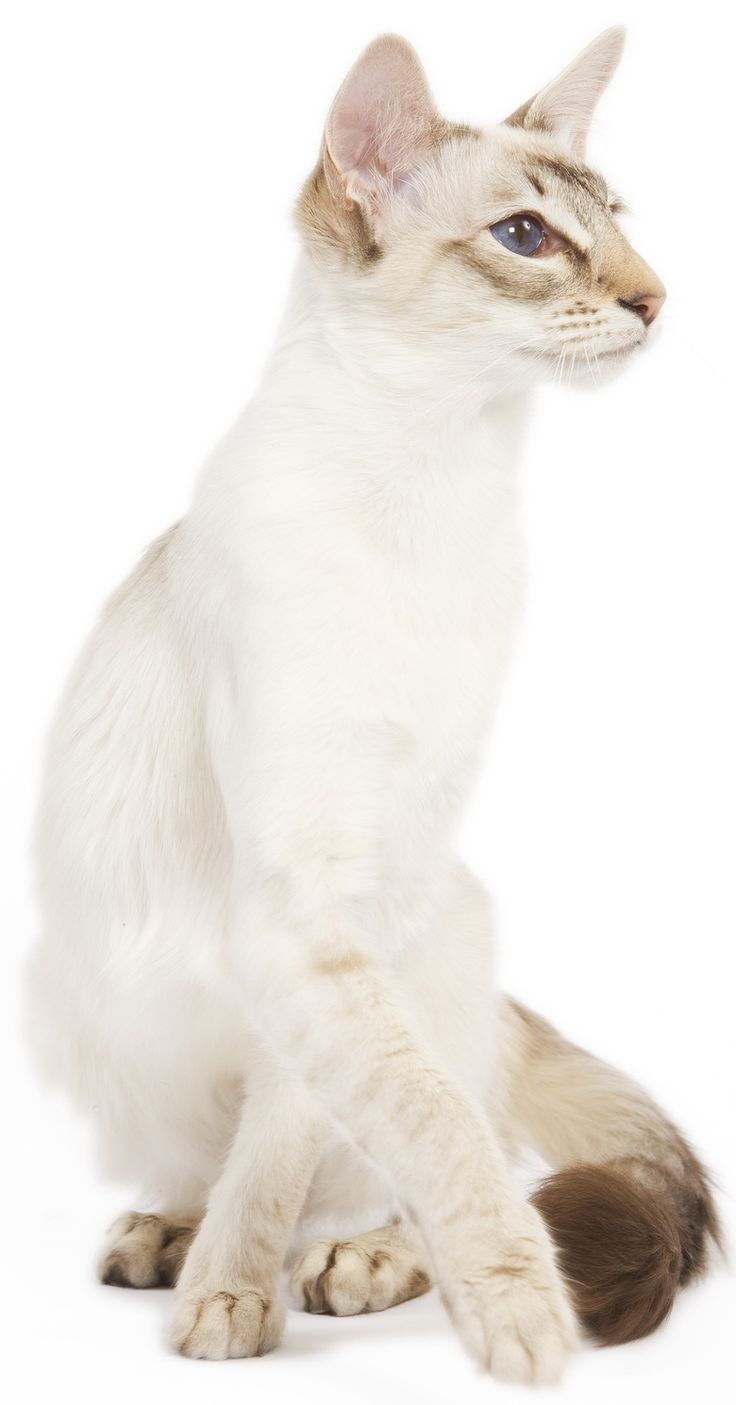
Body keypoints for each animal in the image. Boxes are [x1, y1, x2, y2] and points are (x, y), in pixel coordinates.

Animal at [27, 30, 719, 1382]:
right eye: (525, 236)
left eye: (616, 222)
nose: (657, 298)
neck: (435, 479)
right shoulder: (303, 911)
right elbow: (416, 1124)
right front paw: (235, 1298)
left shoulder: (377, 892)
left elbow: (353, 1133)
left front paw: (247, 1293)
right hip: (84, 1014)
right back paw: (170, 1237)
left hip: (444, 923)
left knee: (414, 1152)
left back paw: (357, 1262)